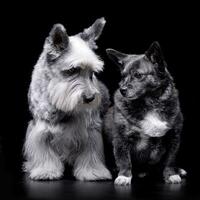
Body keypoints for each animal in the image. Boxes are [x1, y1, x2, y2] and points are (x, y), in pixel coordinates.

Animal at [23, 17, 112, 181]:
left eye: (92, 72)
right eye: (72, 70)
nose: (90, 98)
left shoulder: (91, 129)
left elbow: (91, 153)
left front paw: (93, 172)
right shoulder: (40, 130)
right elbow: (44, 152)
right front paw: (46, 170)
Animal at [104, 41, 187, 185]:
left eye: (138, 75)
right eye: (123, 76)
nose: (122, 89)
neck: (150, 103)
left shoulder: (174, 138)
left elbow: (170, 160)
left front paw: (171, 174)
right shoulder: (121, 139)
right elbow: (124, 160)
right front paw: (124, 176)